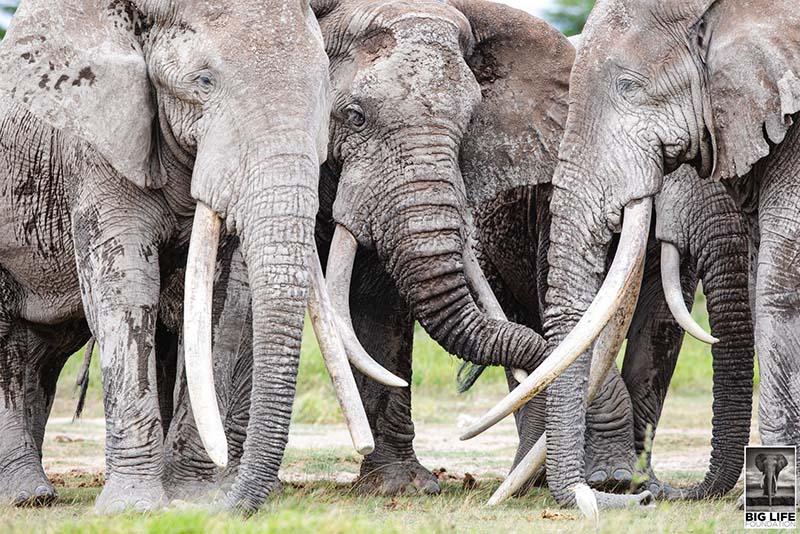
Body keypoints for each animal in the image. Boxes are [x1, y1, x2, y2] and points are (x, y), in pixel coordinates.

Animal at [0, 0, 348, 516]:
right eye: (203, 81)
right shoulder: (97, 152)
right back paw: (26, 496)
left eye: (324, 88)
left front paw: (190, 498)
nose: (230, 507)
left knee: (40, 348)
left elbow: (220, 304)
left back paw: (31, 493)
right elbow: (124, 292)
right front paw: (133, 509)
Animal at [462, 0, 800, 512]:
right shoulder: (549, 198)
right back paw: (531, 479)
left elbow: (661, 325)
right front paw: (616, 482)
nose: (666, 494)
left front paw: (632, 483)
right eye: (629, 90)